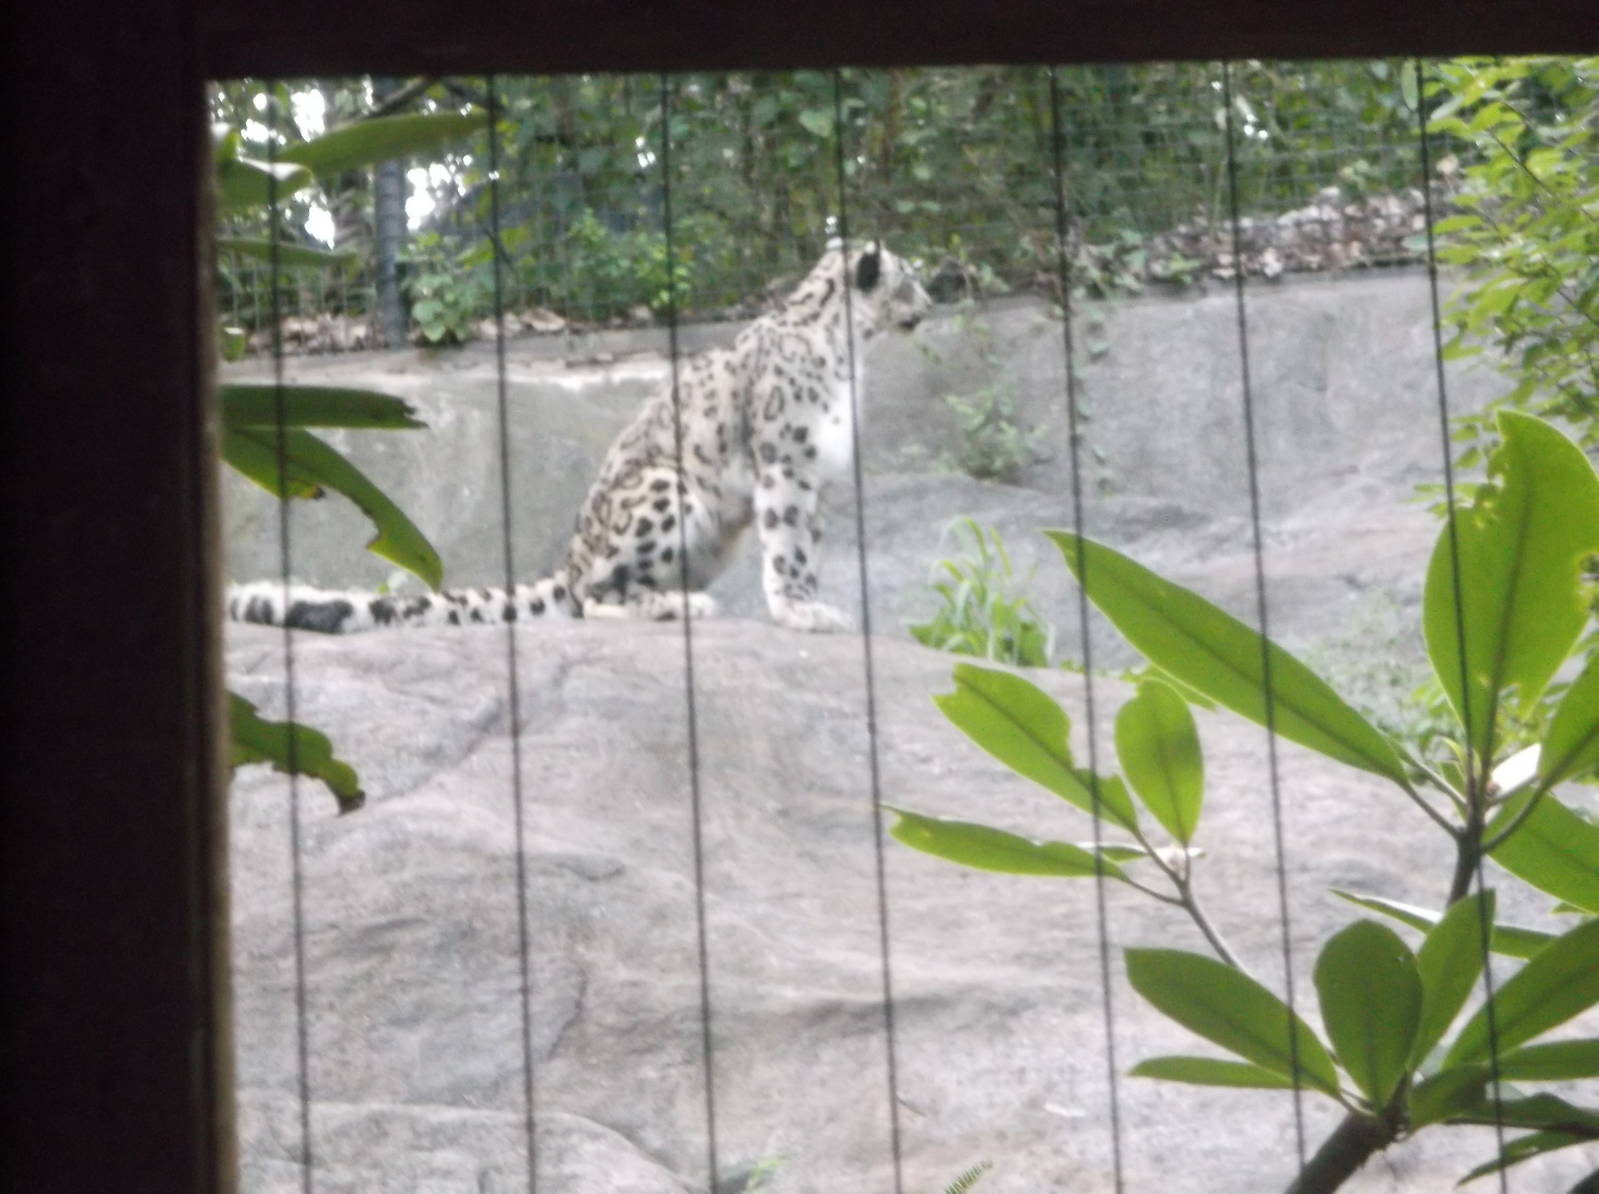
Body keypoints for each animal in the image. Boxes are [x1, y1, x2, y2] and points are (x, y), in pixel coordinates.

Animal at [227, 238, 932, 635]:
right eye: (910, 276)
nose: (933, 300)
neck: (850, 356)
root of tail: (569, 560)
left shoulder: (819, 474)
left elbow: (808, 546)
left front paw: (813, 603)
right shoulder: (786, 461)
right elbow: (788, 547)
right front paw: (802, 611)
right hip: (665, 488)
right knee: (593, 596)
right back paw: (673, 607)